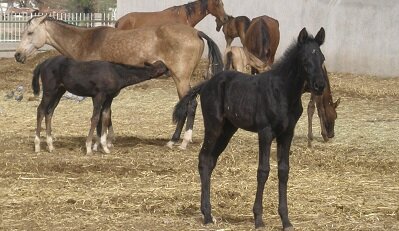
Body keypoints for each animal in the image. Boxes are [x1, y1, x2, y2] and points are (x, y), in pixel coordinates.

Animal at [13, 14, 225, 150]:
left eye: (30, 32)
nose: (17, 55)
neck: (85, 41)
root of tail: (196, 33)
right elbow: (107, 114)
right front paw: (108, 140)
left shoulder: (98, 92)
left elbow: (100, 116)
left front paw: (98, 143)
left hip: (181, 79)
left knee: (190, 105)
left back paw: (180, 141)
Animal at [173, 27, 328, 229]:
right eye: (304, 60)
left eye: (322, 58)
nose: (319, 85)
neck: (283, 92)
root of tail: (206, 83)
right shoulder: (265, 132)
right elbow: (263, 171)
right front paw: (258, 219)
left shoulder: (287, 133)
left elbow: (284, 171)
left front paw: (286, 220)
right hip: (214, 125)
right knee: (204, 159)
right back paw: (207, 215)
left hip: (228, 130)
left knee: (210, 160)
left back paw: (209, 214)